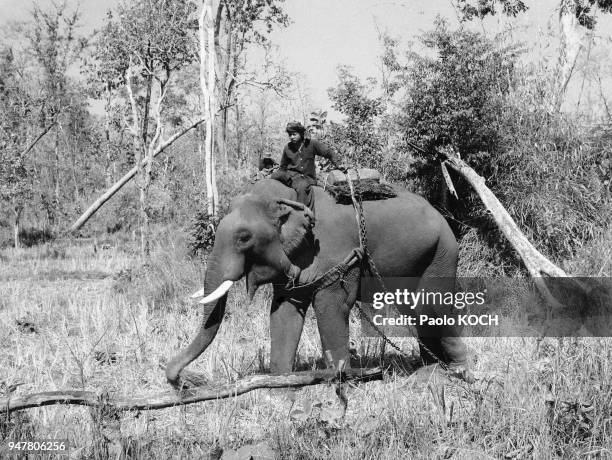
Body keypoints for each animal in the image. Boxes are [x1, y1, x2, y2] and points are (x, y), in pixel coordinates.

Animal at [164, 178, 468, 382]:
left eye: (244, 238)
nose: (179, 380)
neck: (290, 197)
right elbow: (284, 310)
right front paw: (281, 382)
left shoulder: (337, 252)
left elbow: (331, 307)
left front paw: (340, 381)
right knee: (416, 310)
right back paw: (428, 368)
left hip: (442, 251)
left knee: (431, 306)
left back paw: (457, 371)